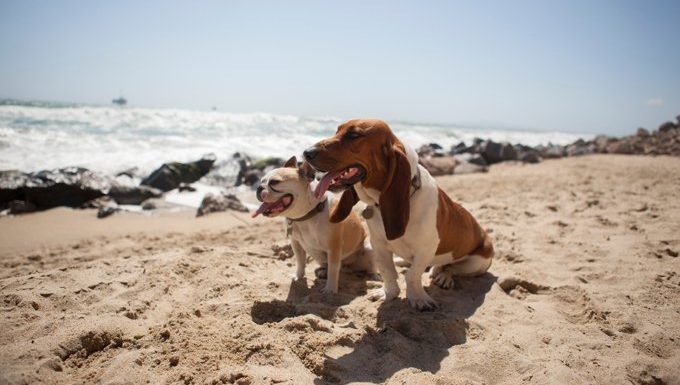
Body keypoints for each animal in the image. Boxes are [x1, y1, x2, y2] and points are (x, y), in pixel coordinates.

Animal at [252, 154, 374, 292]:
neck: (307, 215)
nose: (259, 188)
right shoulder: (296, 243)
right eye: (261, 181)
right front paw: (298, 276)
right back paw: (323, 271)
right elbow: (300, 261)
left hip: (369, 247)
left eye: (274, 182)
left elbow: (333, 268)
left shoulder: (334, 247)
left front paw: (330, 289)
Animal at [304, 119, 494, 308]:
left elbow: (412, 275)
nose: (306, 153)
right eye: (336, 131)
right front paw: (388, 293)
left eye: (353, 135)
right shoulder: (379, 245)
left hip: (477, 262)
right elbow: (388, 272)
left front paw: (419, 298)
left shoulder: (426, 250)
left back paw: (444, 277)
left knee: (451, 268)